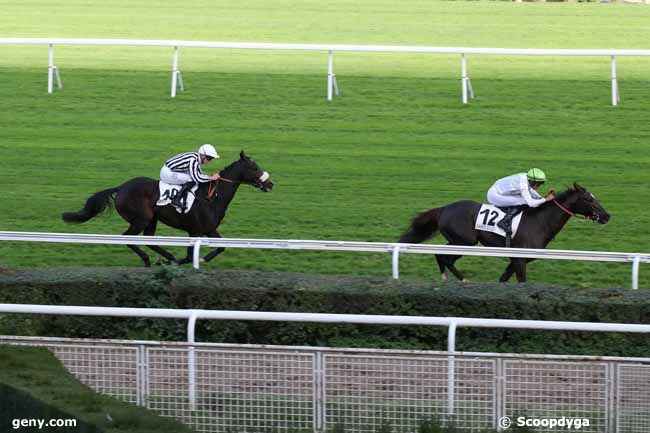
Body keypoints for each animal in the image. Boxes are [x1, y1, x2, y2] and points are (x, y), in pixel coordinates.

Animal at [62, 150, 272, 264]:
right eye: (254, 167)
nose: (270, 184)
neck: (212, 197)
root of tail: (121, 188)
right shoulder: (196, 231)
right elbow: (190, 255)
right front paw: (191, 260)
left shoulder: (208, 229)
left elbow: (221, 247)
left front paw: (196, 259)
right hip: (141, 220)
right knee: (129, 239)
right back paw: (149, 260)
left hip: (151, 220)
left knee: (148, 240)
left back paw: (166, 257)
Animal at [394, 183, 608, 282]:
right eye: (589, 199)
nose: (607, 216)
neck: (540, 221)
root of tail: (444, 208)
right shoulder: (520, 259)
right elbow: (521, 281)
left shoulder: (517, 260)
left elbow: (503, 279)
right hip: (465, 242)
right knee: (444, 256)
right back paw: (462, 279)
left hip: (461, 242)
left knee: (441, 255)